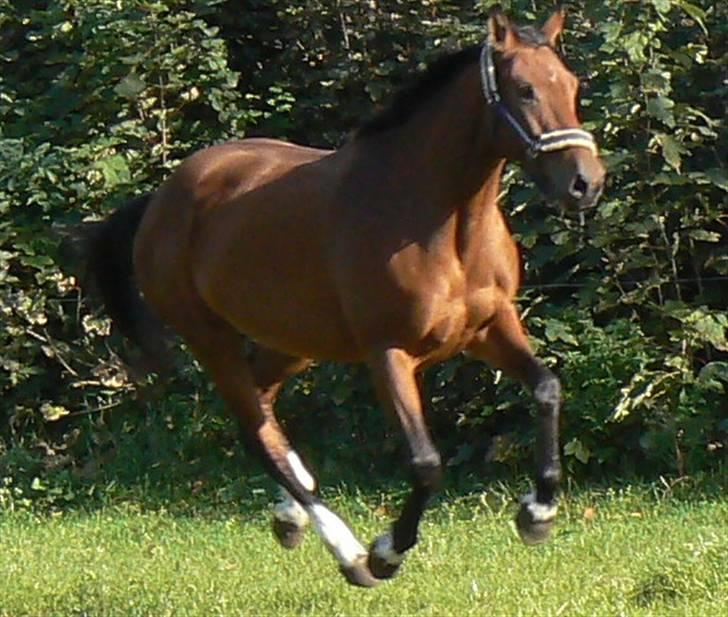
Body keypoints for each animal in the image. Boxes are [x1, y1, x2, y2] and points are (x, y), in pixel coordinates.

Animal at [85, 9, 604, 588]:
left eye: (572, 86)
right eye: (524, 90)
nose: (585, 183)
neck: (439, 222)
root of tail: (160, 200)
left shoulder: (490, 328)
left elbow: (547, 389)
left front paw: (537, 514)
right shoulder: (388, 353)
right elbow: (426, 464)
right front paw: (387, 552)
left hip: (292, 342)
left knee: (263, 411)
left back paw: (290, 517)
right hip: (210, 338)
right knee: (256, 431)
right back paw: (347, 551)